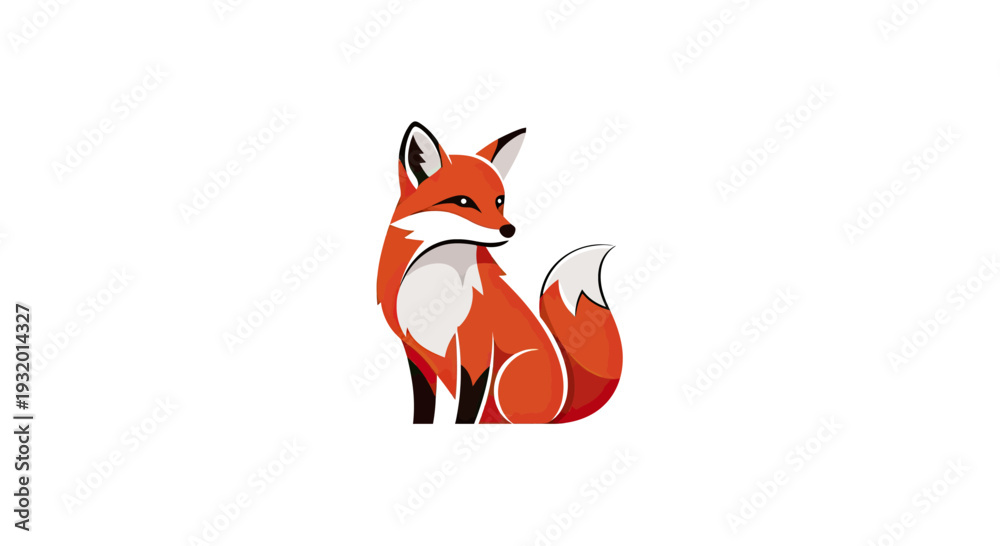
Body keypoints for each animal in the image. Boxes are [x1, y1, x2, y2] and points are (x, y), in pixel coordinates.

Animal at [377, 122, 623, 424]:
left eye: (499, 201)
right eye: (463, 201)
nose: (509, 229)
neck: (437, 291)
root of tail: (564, 402)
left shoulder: (477, 348)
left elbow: (467, 408)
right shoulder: (414, 351)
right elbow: (424, 407)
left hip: (507, 378)